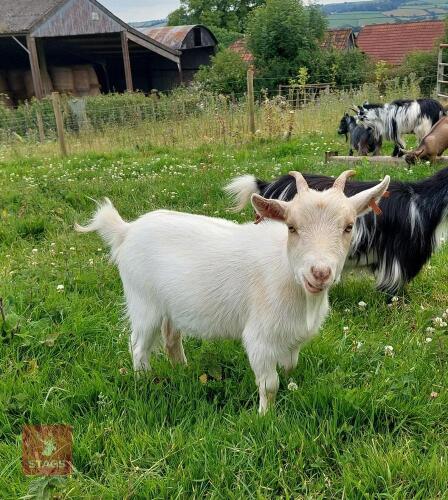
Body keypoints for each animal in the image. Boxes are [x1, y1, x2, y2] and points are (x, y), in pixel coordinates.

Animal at [76, 170, 388, 412]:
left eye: (348, 226)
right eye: (291, 227)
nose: (320, 273)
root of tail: (126, 231)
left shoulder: (293, 337)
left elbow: (290, 367)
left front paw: (292, 390)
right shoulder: (259, 338)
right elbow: (270, 384)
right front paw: (265, 417)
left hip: (171, 306)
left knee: (171, 338)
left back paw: (183, 370)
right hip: (143, 302)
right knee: (138, 346)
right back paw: (144, 382)